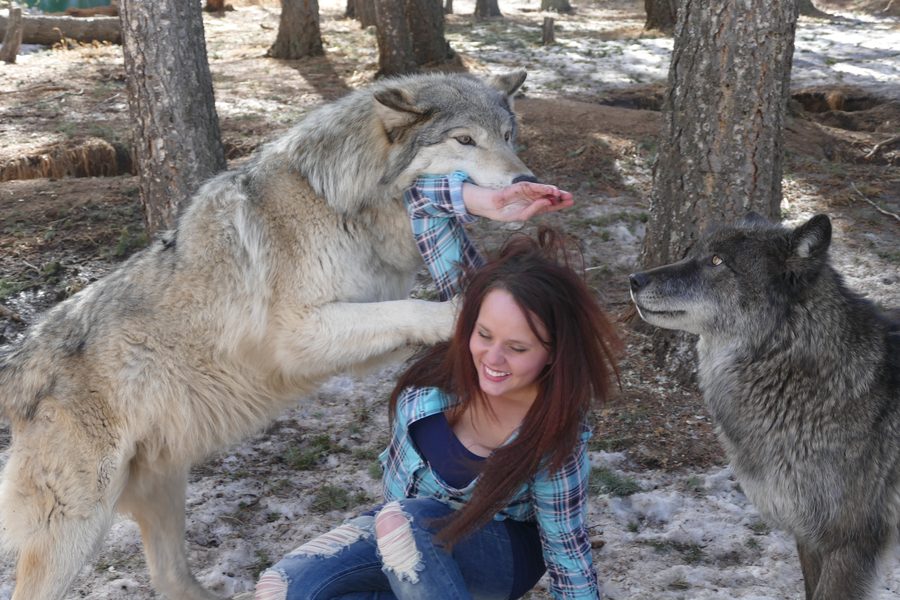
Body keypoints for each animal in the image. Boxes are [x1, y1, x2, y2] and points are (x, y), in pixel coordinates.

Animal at [0, 70, 536, 600]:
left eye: (508, 136)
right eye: (464, 140)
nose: (525, 181)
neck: (337, 200)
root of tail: (21, 360)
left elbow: (402, 316)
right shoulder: (300, 334)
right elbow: (413, 308)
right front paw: (465, 315)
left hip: (164, 491)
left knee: (170, 578)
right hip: (78, 527)